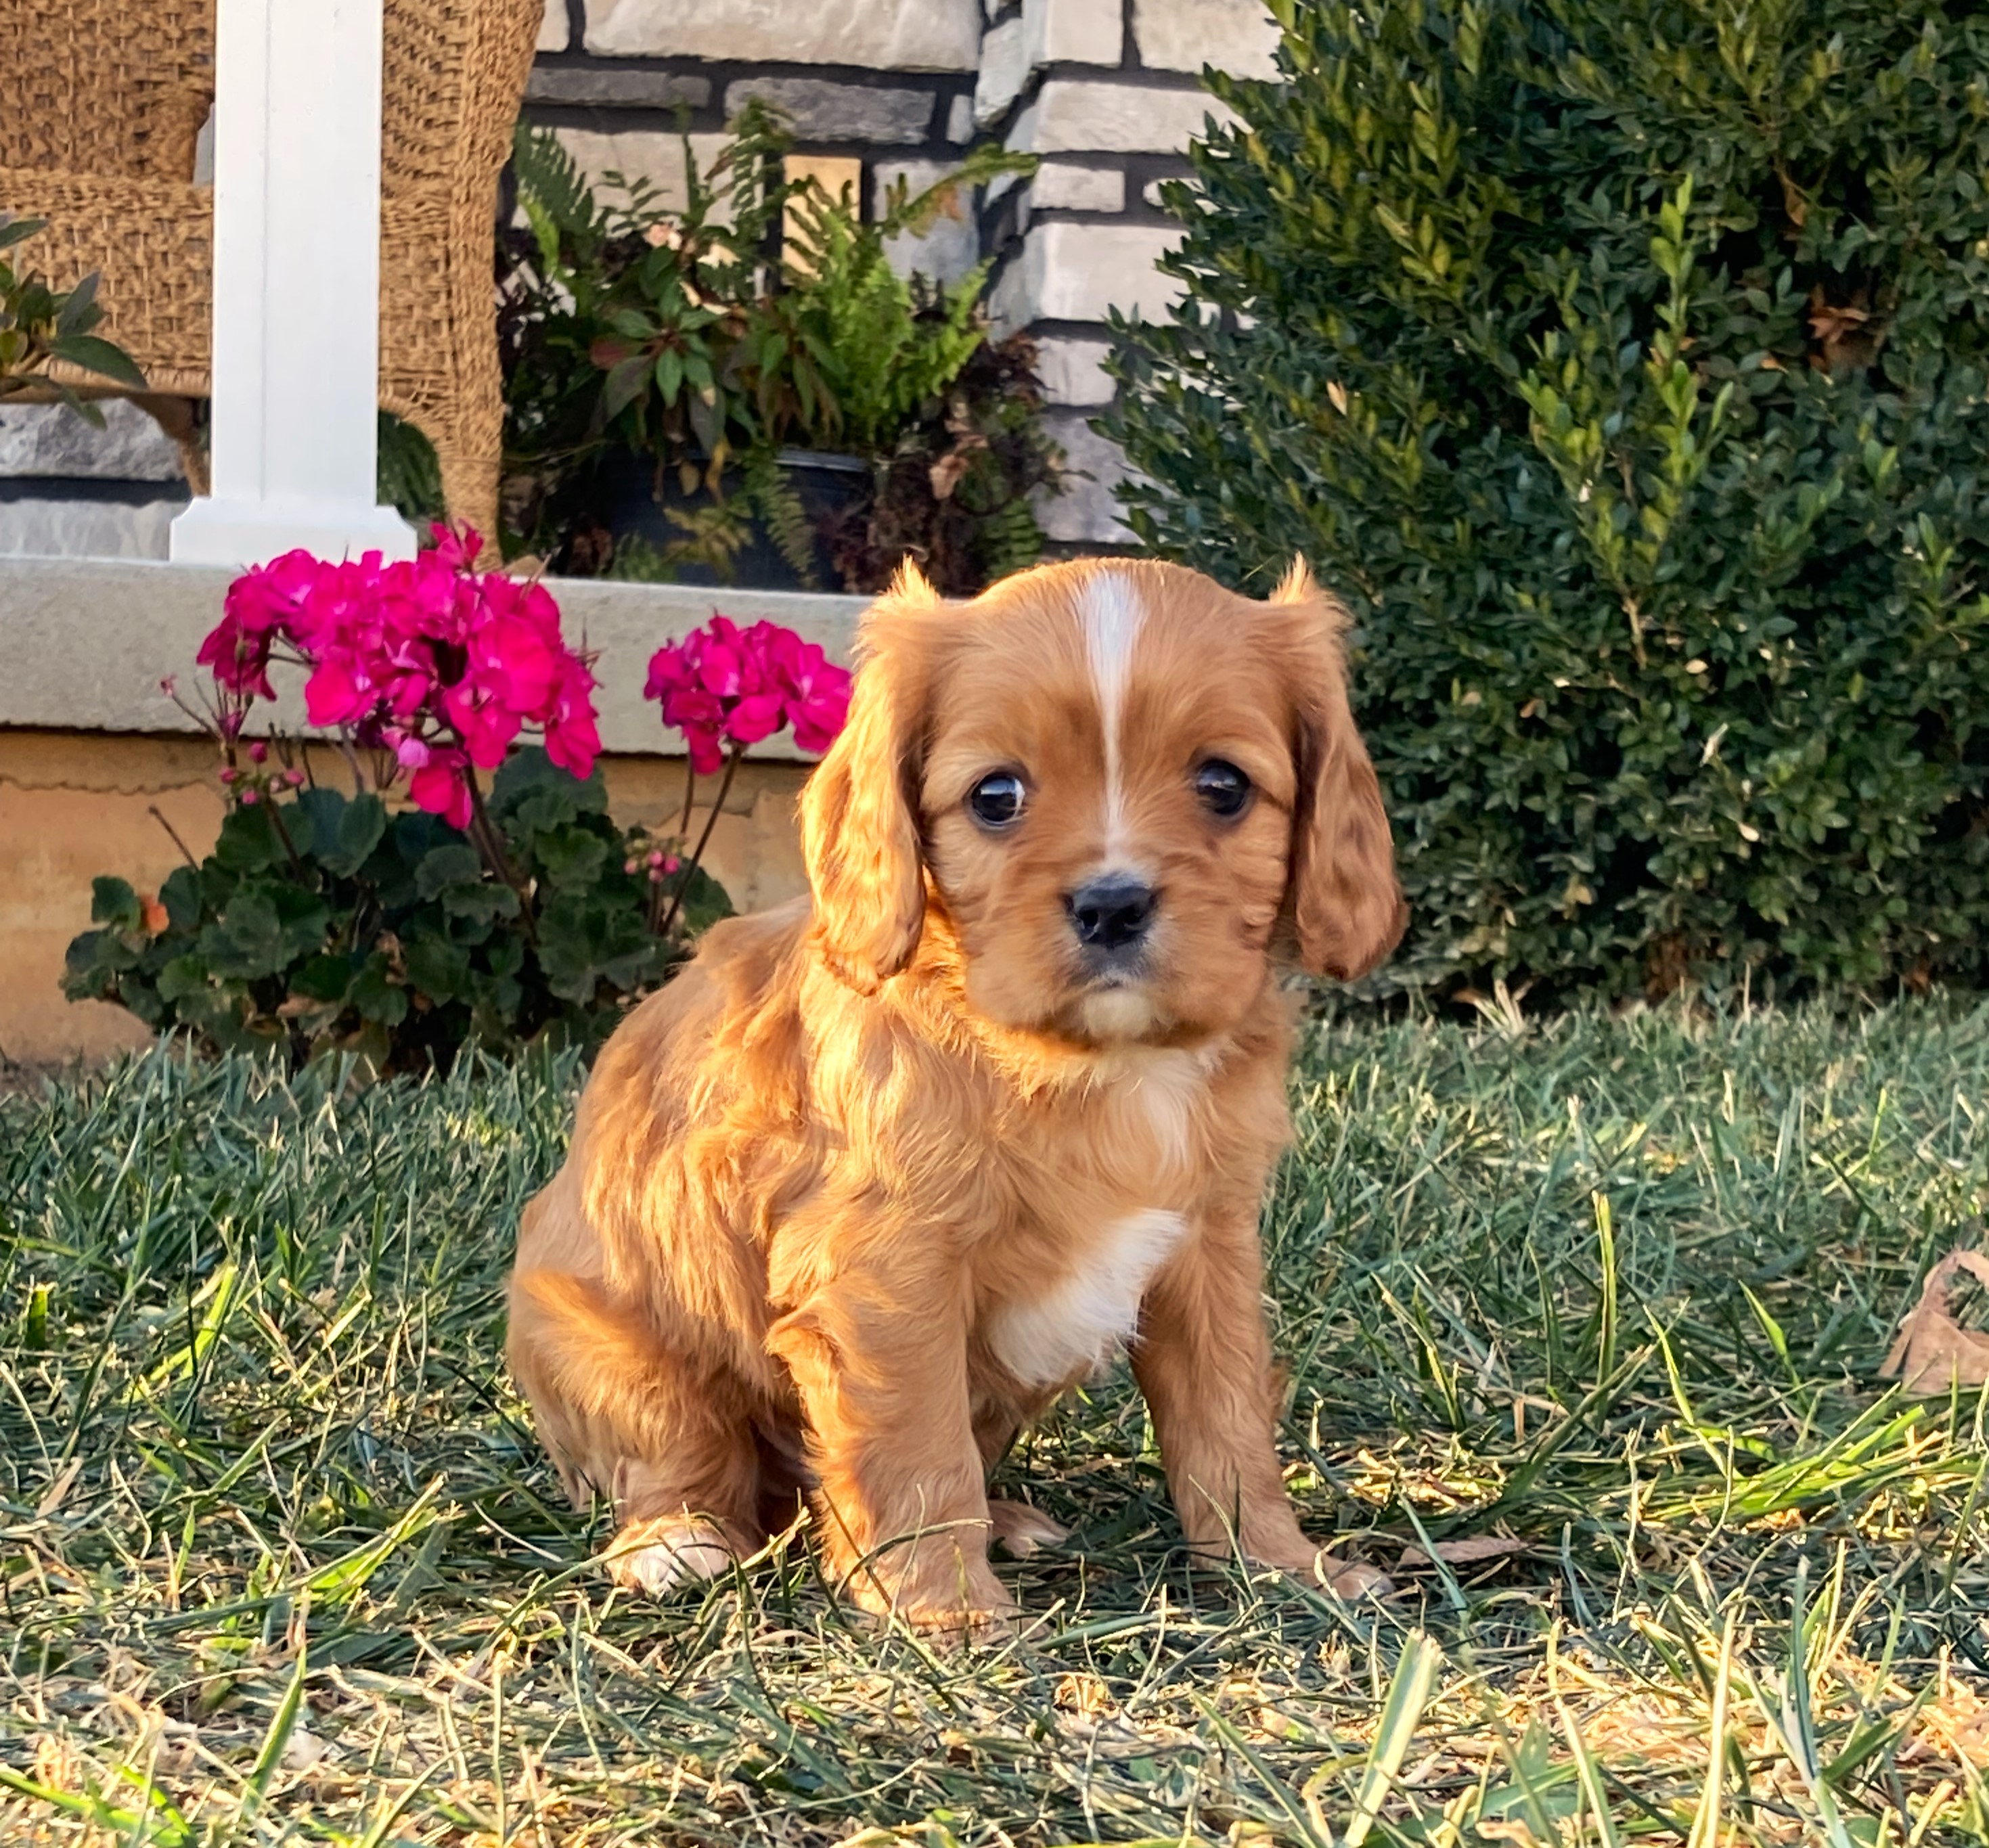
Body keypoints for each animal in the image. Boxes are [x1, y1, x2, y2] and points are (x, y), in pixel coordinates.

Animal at [505, 553, 1408, 1631]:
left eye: (1223, 785)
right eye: (995, 795)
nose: (1111, 903)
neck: (1094, 1065)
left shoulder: (1208, 1243)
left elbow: (1223, 1415)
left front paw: (1280, 1566)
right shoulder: (885, 1270)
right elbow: (916, 1440)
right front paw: (945, 1609)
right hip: (602, 1336)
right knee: (683, 1448)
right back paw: (675, 1540)